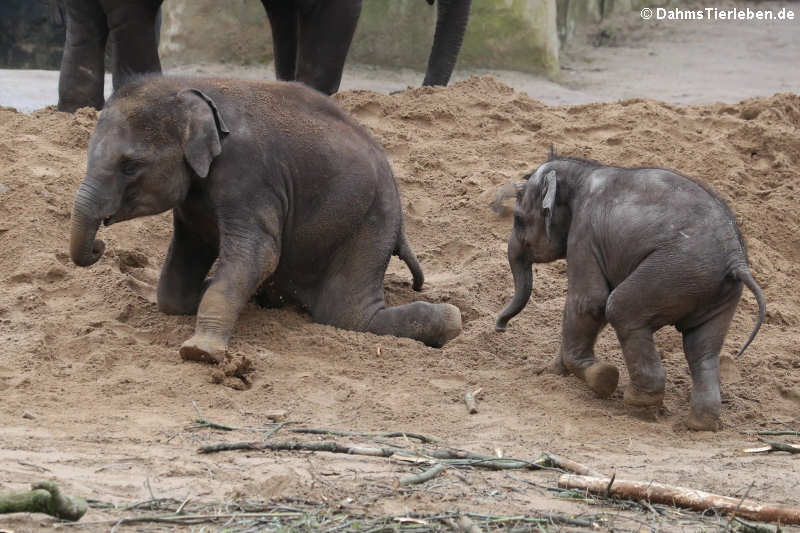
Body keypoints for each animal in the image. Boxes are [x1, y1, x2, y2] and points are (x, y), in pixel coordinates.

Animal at [496, 153, 764, 428]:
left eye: (518, 219)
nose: (500, 328)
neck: (582, 171)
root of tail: (736, 261)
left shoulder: (584, 232)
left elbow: (590, 301)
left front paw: (602, 377)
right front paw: (549, 373)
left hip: (675, 272)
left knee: (620, 309)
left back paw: (639, 401)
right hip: (718, 293)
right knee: (701, 347)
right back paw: (700, 423)